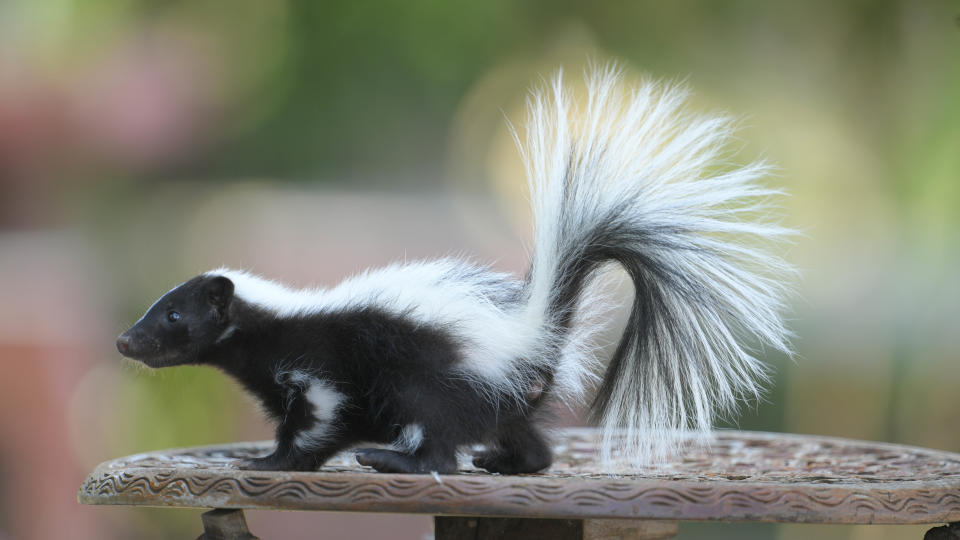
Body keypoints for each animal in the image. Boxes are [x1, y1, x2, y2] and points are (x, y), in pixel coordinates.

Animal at [116, 66, 792, 472]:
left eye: (173, 315)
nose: (125, 340)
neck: (275, 322)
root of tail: (532, 331)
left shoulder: (317, 371)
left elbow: (318, 422)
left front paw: (269, 462)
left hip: (431, 374)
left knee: (438, 439)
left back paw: (394, 460)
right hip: (504, 393)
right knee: (524, 439)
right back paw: (508, 462)